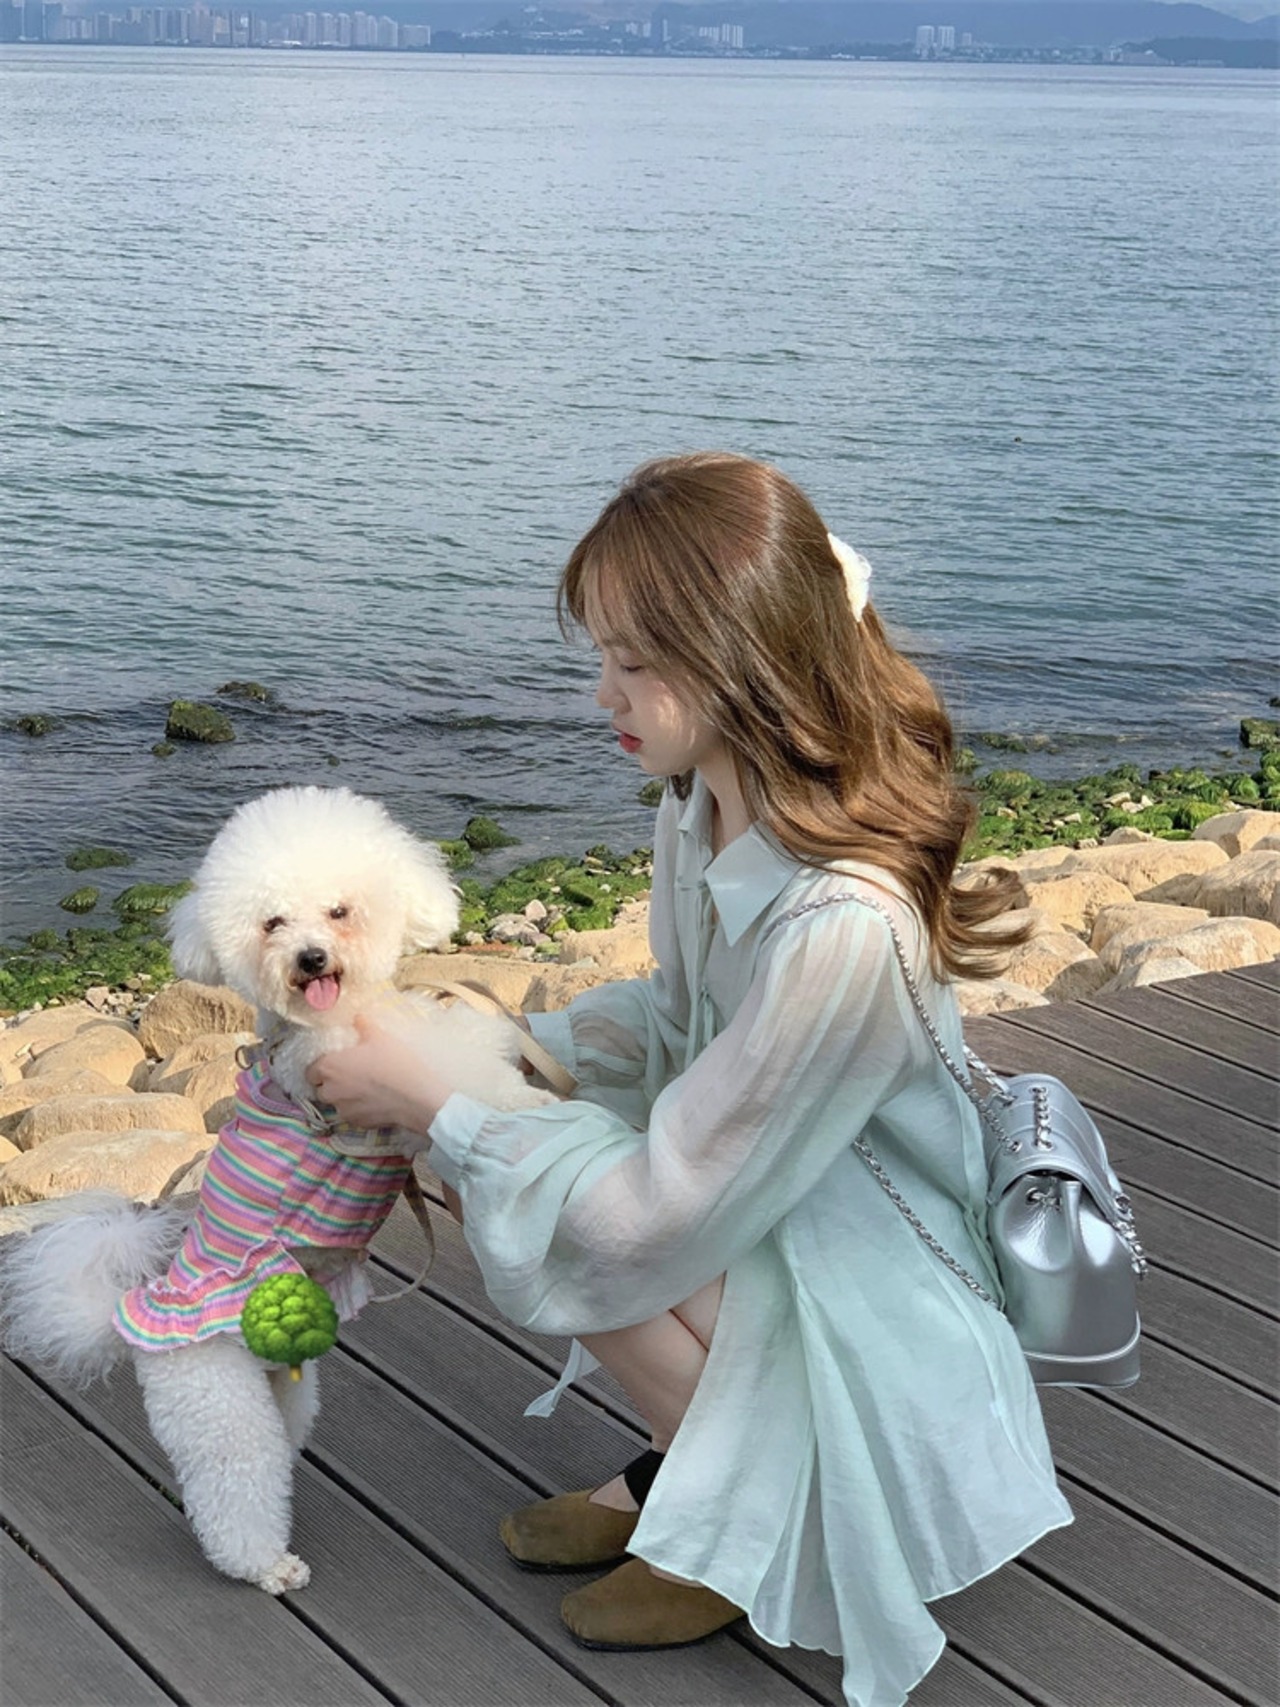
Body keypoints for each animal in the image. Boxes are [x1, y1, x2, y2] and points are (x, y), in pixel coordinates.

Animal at [0, 786, 555, 1593]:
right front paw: (524, 1105)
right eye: (272, 924)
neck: (339, 1018)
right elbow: (457, 1078)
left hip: (286, 1393)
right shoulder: (371, 1085)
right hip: (220, 1408)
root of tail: (130, 1317)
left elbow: (462, 1039)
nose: (310, 958)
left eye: (339, 910)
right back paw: (264, 1564)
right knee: (233, 1489)